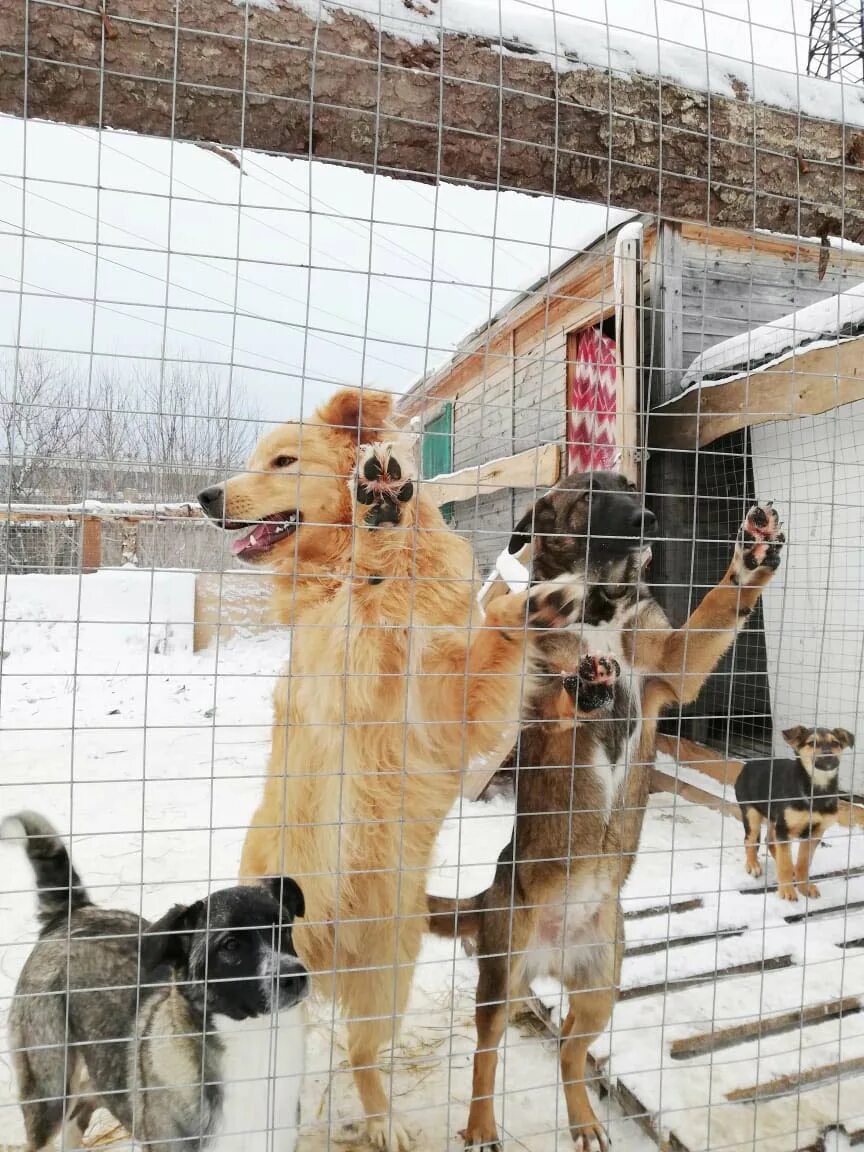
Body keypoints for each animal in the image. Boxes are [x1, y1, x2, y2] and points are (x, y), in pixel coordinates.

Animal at [1, 811, 308, 1152]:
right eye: (230, 945)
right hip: (49, 1093)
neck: (257, 1039)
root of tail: (72, 913)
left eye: (285, 929)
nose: (295, 976)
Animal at [199, 391, 585, 1147]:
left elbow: (490, 644)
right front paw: (376, 505)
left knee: (362, 1053)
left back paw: (382, 1122)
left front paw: (525, 604)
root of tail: (333, 952)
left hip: (390, 972)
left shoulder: (452, 709)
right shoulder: (346, 661)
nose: (205, 497)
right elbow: (368, 594)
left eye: (282, 462)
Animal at [430, 470, 787, 1152]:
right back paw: (482, 1125)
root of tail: (554, 951)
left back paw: (586, 1122)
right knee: (486, 1055)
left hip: (603, 987)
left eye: (628, 484)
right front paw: (582, 683)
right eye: (590, 497)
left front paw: (753, 556)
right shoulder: (539, 711)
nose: (649, 517)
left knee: (572, 1050)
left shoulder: (670, 669)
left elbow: (716, 610)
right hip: (502, 978)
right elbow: (560, 701)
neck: (598, 604)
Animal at [732, 723, 857, 903]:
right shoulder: (784, 829)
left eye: (835, 743)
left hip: (774, 818)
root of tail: (748, 765)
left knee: (770, 841)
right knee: (750, 840)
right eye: (811, 743)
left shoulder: (814, 832)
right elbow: (784, 863)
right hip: (752, 813)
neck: (815, 790)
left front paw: (804, 886)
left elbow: (804, 863)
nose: (828, 755)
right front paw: (786, 891)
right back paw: (753, 864)